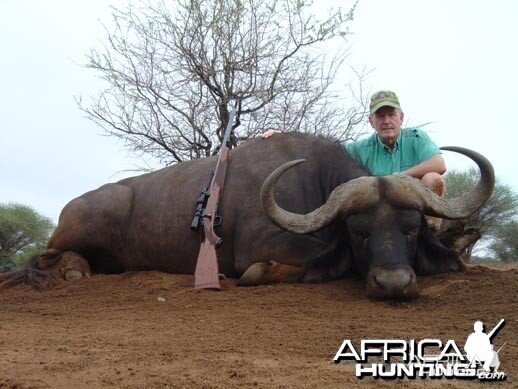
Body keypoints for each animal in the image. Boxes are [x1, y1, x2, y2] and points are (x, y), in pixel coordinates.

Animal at [0, 132, 496, 298]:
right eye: (358, 232)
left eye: (411, 230)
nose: (394, 283)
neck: (314, 178)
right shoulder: (264, 244)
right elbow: (303, 260)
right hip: (82, 225)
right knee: (45, 258)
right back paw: (74, 271)